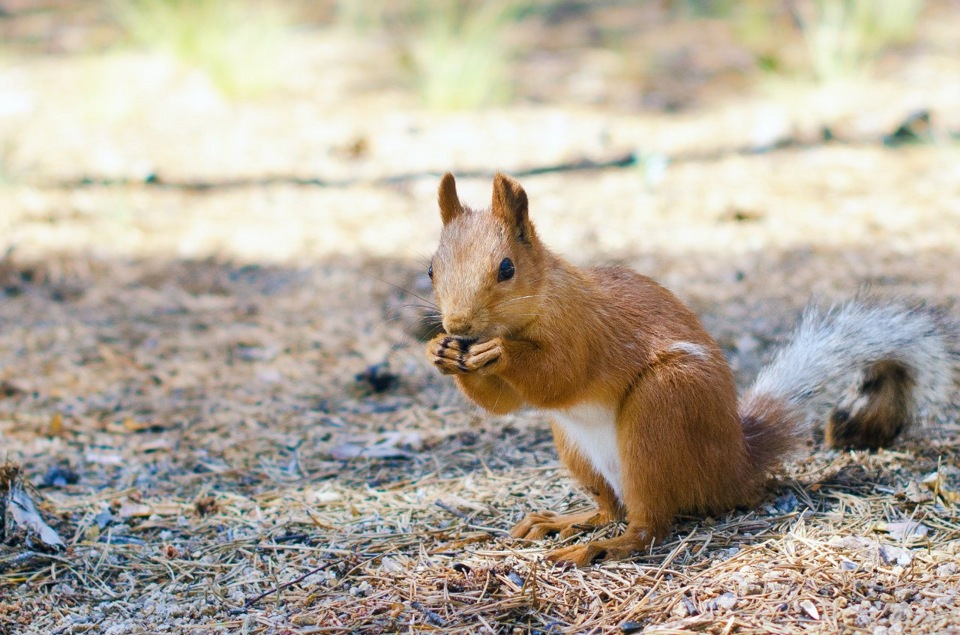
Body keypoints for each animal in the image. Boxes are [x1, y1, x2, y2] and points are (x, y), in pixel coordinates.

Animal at [428, 170, 960, 568]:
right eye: (431, 270)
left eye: (506, 268)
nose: (459, 325)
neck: (543, 297)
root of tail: (735, 466)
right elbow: (505, 402)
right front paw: (442, 351)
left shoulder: (584, 330)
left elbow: (560, 373)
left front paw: (500, 352)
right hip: (576, 447)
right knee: (611, 507)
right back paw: (565, 522)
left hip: (660, 411)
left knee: (649, 525)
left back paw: (601, 547)